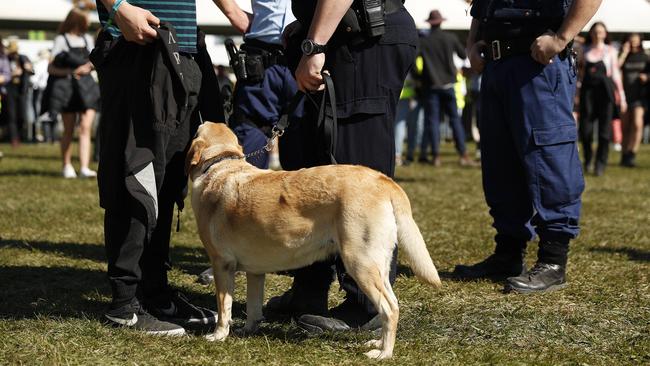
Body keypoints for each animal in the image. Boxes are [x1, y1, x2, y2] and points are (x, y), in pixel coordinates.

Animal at [185, 123, 442, 360]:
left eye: (196, 130)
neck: (220, 165)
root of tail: (384, 180)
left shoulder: (222, 264)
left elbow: (223, 307)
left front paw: (218, 335)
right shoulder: (255, 271)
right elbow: (253, 306)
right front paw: (247, 330)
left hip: (360, 262)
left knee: (390, 308)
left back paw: (384, 353)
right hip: (377, 264)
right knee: (391, 305)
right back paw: (377, 343)